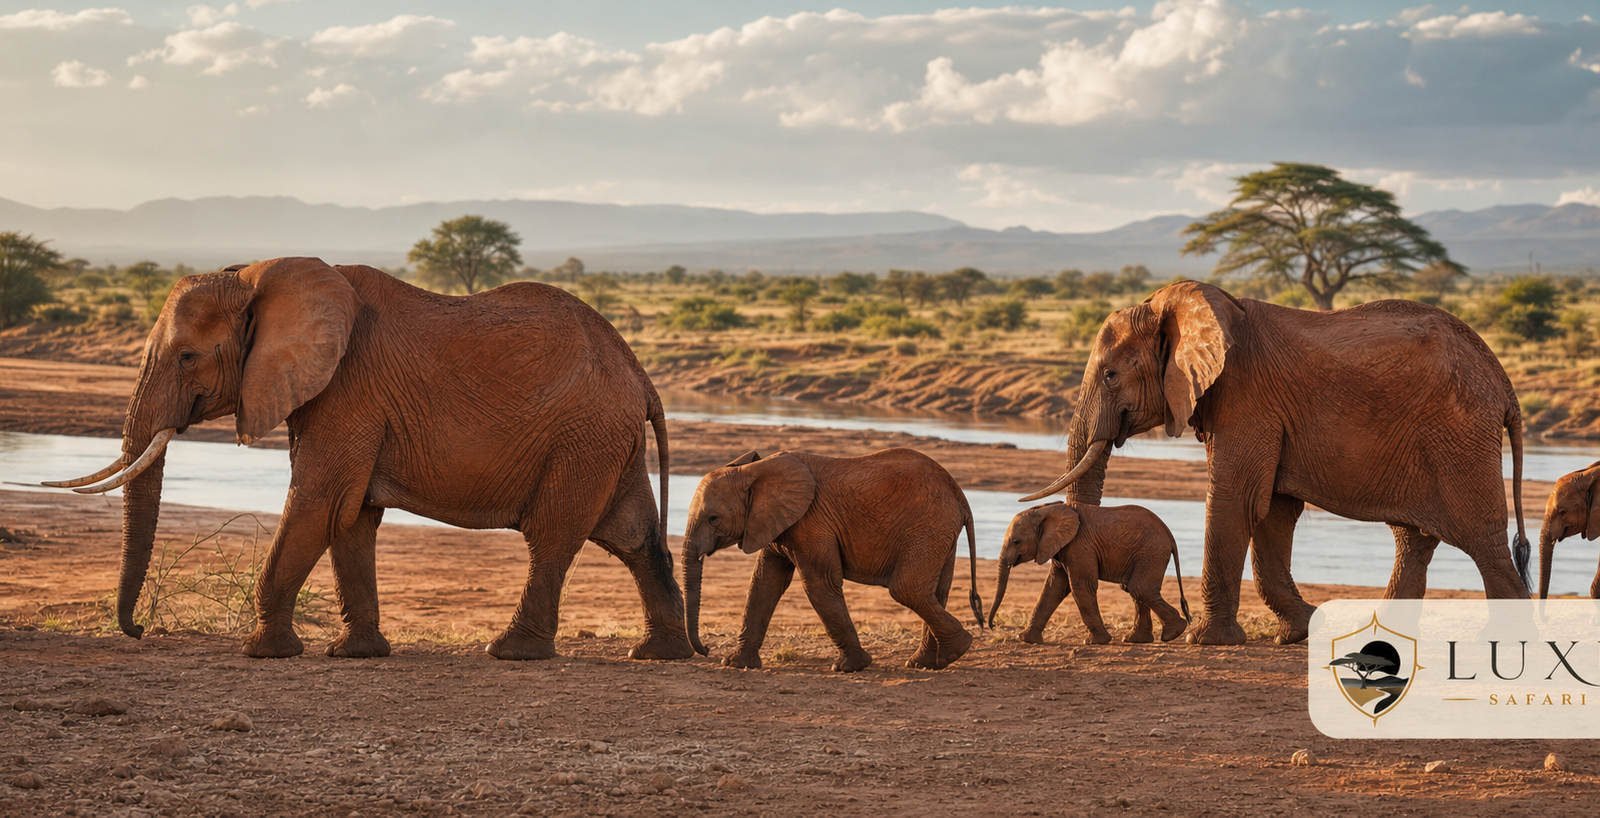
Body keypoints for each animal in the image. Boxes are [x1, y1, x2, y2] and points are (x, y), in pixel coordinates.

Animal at [44, 257, 694, 662]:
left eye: (186, 357)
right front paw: (354, 654)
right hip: (606, 439)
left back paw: (512, 652)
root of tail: (639, 372)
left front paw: (264, 653)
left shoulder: (347, 390)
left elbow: (318, 503)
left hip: (583, 436)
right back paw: (658, 654)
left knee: (554, 535)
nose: (139, 631)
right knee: (634, 536)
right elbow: (352, 517)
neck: (256, 275)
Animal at [681, 448, 984, 672]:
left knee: (906, 589)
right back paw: (929, 663)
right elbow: (764, 583)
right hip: (940, 531)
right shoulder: (775, 523)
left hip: (929, 527)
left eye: (713, 518)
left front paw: (850, 667)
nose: (706, 651)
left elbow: (819, 584)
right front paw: (735, 663)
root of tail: (959, 493)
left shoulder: (810, 521)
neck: (754, 470)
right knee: (935, 592)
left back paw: (957, 649)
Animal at [989, 501, 1190, 645]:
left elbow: (1080, 586)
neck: (1048, 509)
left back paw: (1174, 632)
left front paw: (1095, 642)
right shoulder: (1061, 548)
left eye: (1016, 542)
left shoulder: (1079, 546)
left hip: (1152, 552)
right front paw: (1026, 639)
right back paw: (1138, 639)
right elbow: (1053, 587)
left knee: (1139, 588)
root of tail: (1169, 535)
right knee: (1134, 589)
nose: (992, 626)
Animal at [1021, 280, 1531, 646]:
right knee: (1414, 540)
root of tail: (1504, 385)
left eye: (1110, 375)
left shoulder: (1247, 398)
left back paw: (1505, 645)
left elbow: (1237, 499)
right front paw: (1302, 631)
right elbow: (1273, 512)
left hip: (1459, 438)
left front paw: (1208, 641)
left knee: (1482, 538)